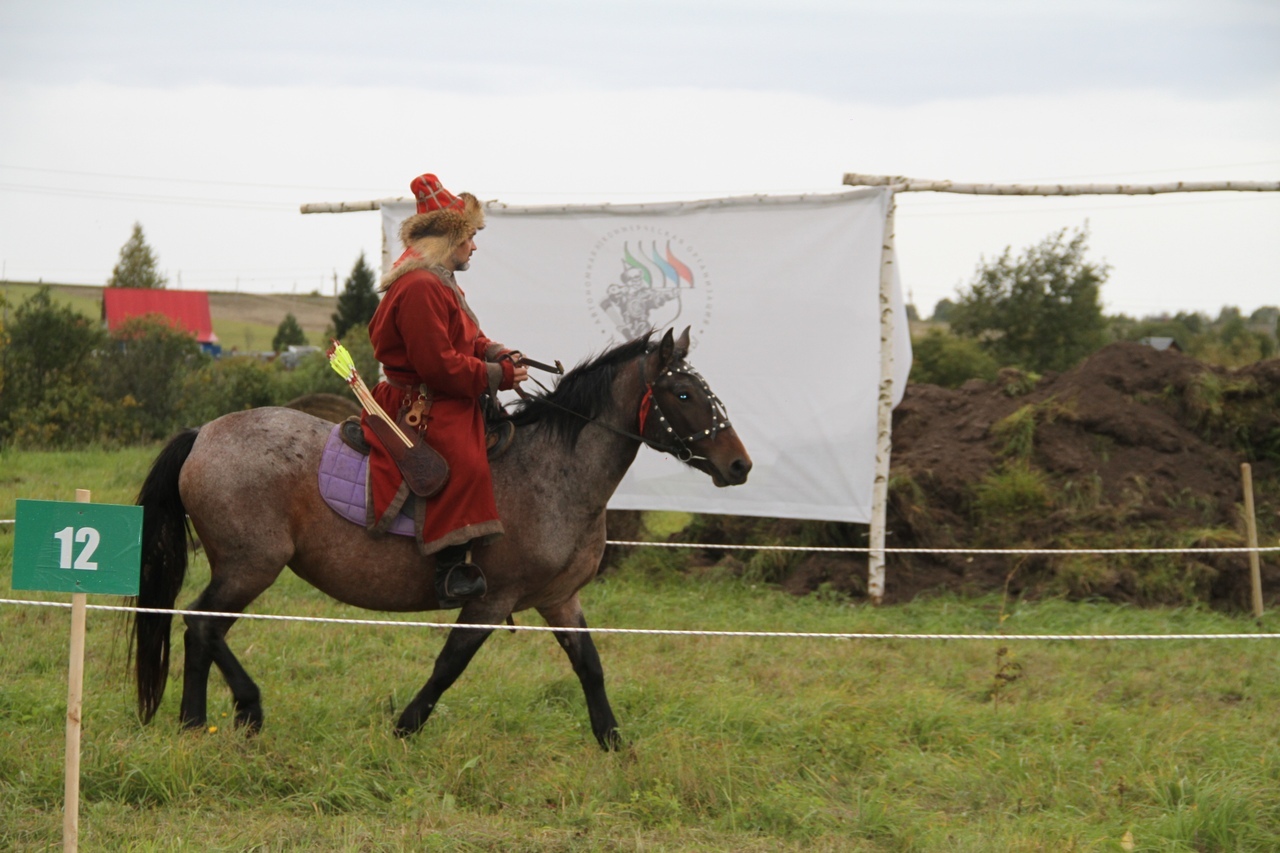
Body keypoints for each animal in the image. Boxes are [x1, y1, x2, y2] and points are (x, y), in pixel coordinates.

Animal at [129, 327, 747, 747]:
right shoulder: (492, 600)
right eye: (684, 395)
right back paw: (237, 710)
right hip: (250, 566)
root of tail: (203, 433)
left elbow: (590, 666)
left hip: (245, 569)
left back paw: (199, 721)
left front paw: (615, 743)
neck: (556, 471)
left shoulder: (559, 599)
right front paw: (404, 728)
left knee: (200, 629)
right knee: (201, 624)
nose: (739, 465)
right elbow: (450, 665)